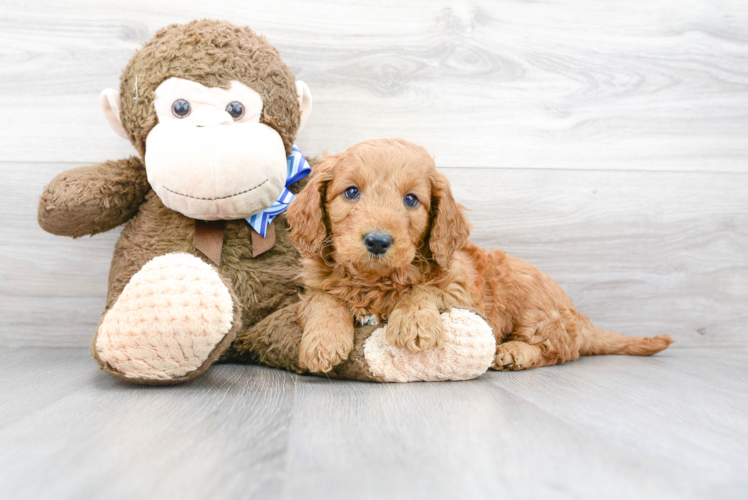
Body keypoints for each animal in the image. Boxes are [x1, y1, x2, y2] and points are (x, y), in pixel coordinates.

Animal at [286, 139, 672, 374]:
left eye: (411, 199)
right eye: (351, 192)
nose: (378, 241)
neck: (375, 280)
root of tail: (579, 317)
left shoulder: (461, 288)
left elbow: (421, 290)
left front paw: (414, 322)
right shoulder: (313, 286)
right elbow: (324, 300)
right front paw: (322, 342)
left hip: (537, 310)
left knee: (558, 350)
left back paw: (514, 353)